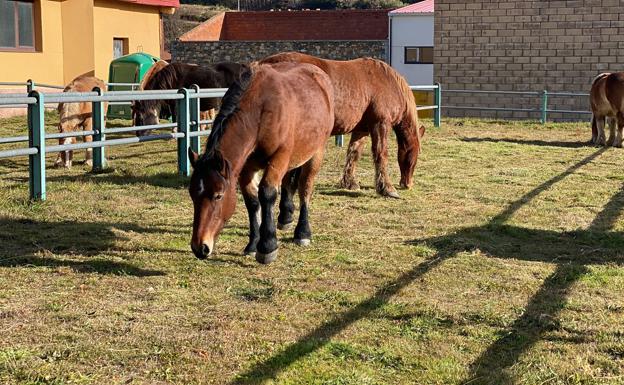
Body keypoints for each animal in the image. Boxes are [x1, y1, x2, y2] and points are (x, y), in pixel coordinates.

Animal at [188, 61, 336, 264]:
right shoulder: (246, 167)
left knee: (305, 188)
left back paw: (302, 232)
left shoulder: (279, 158)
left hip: (316, 153)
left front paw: (267, 246)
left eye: (218, 195)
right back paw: (285, 217)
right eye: (192, 195)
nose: (199, 247)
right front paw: (253, 244)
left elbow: (267, 193)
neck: (261, 112)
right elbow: (252, 201)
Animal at [258, 51, 424, 201]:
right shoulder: (380, 124)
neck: (388, 82)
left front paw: (350, 183)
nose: (407, 184)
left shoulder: (362, 130)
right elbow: (381, 154)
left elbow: (354, 153)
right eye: (414, 153)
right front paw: (387, 188)